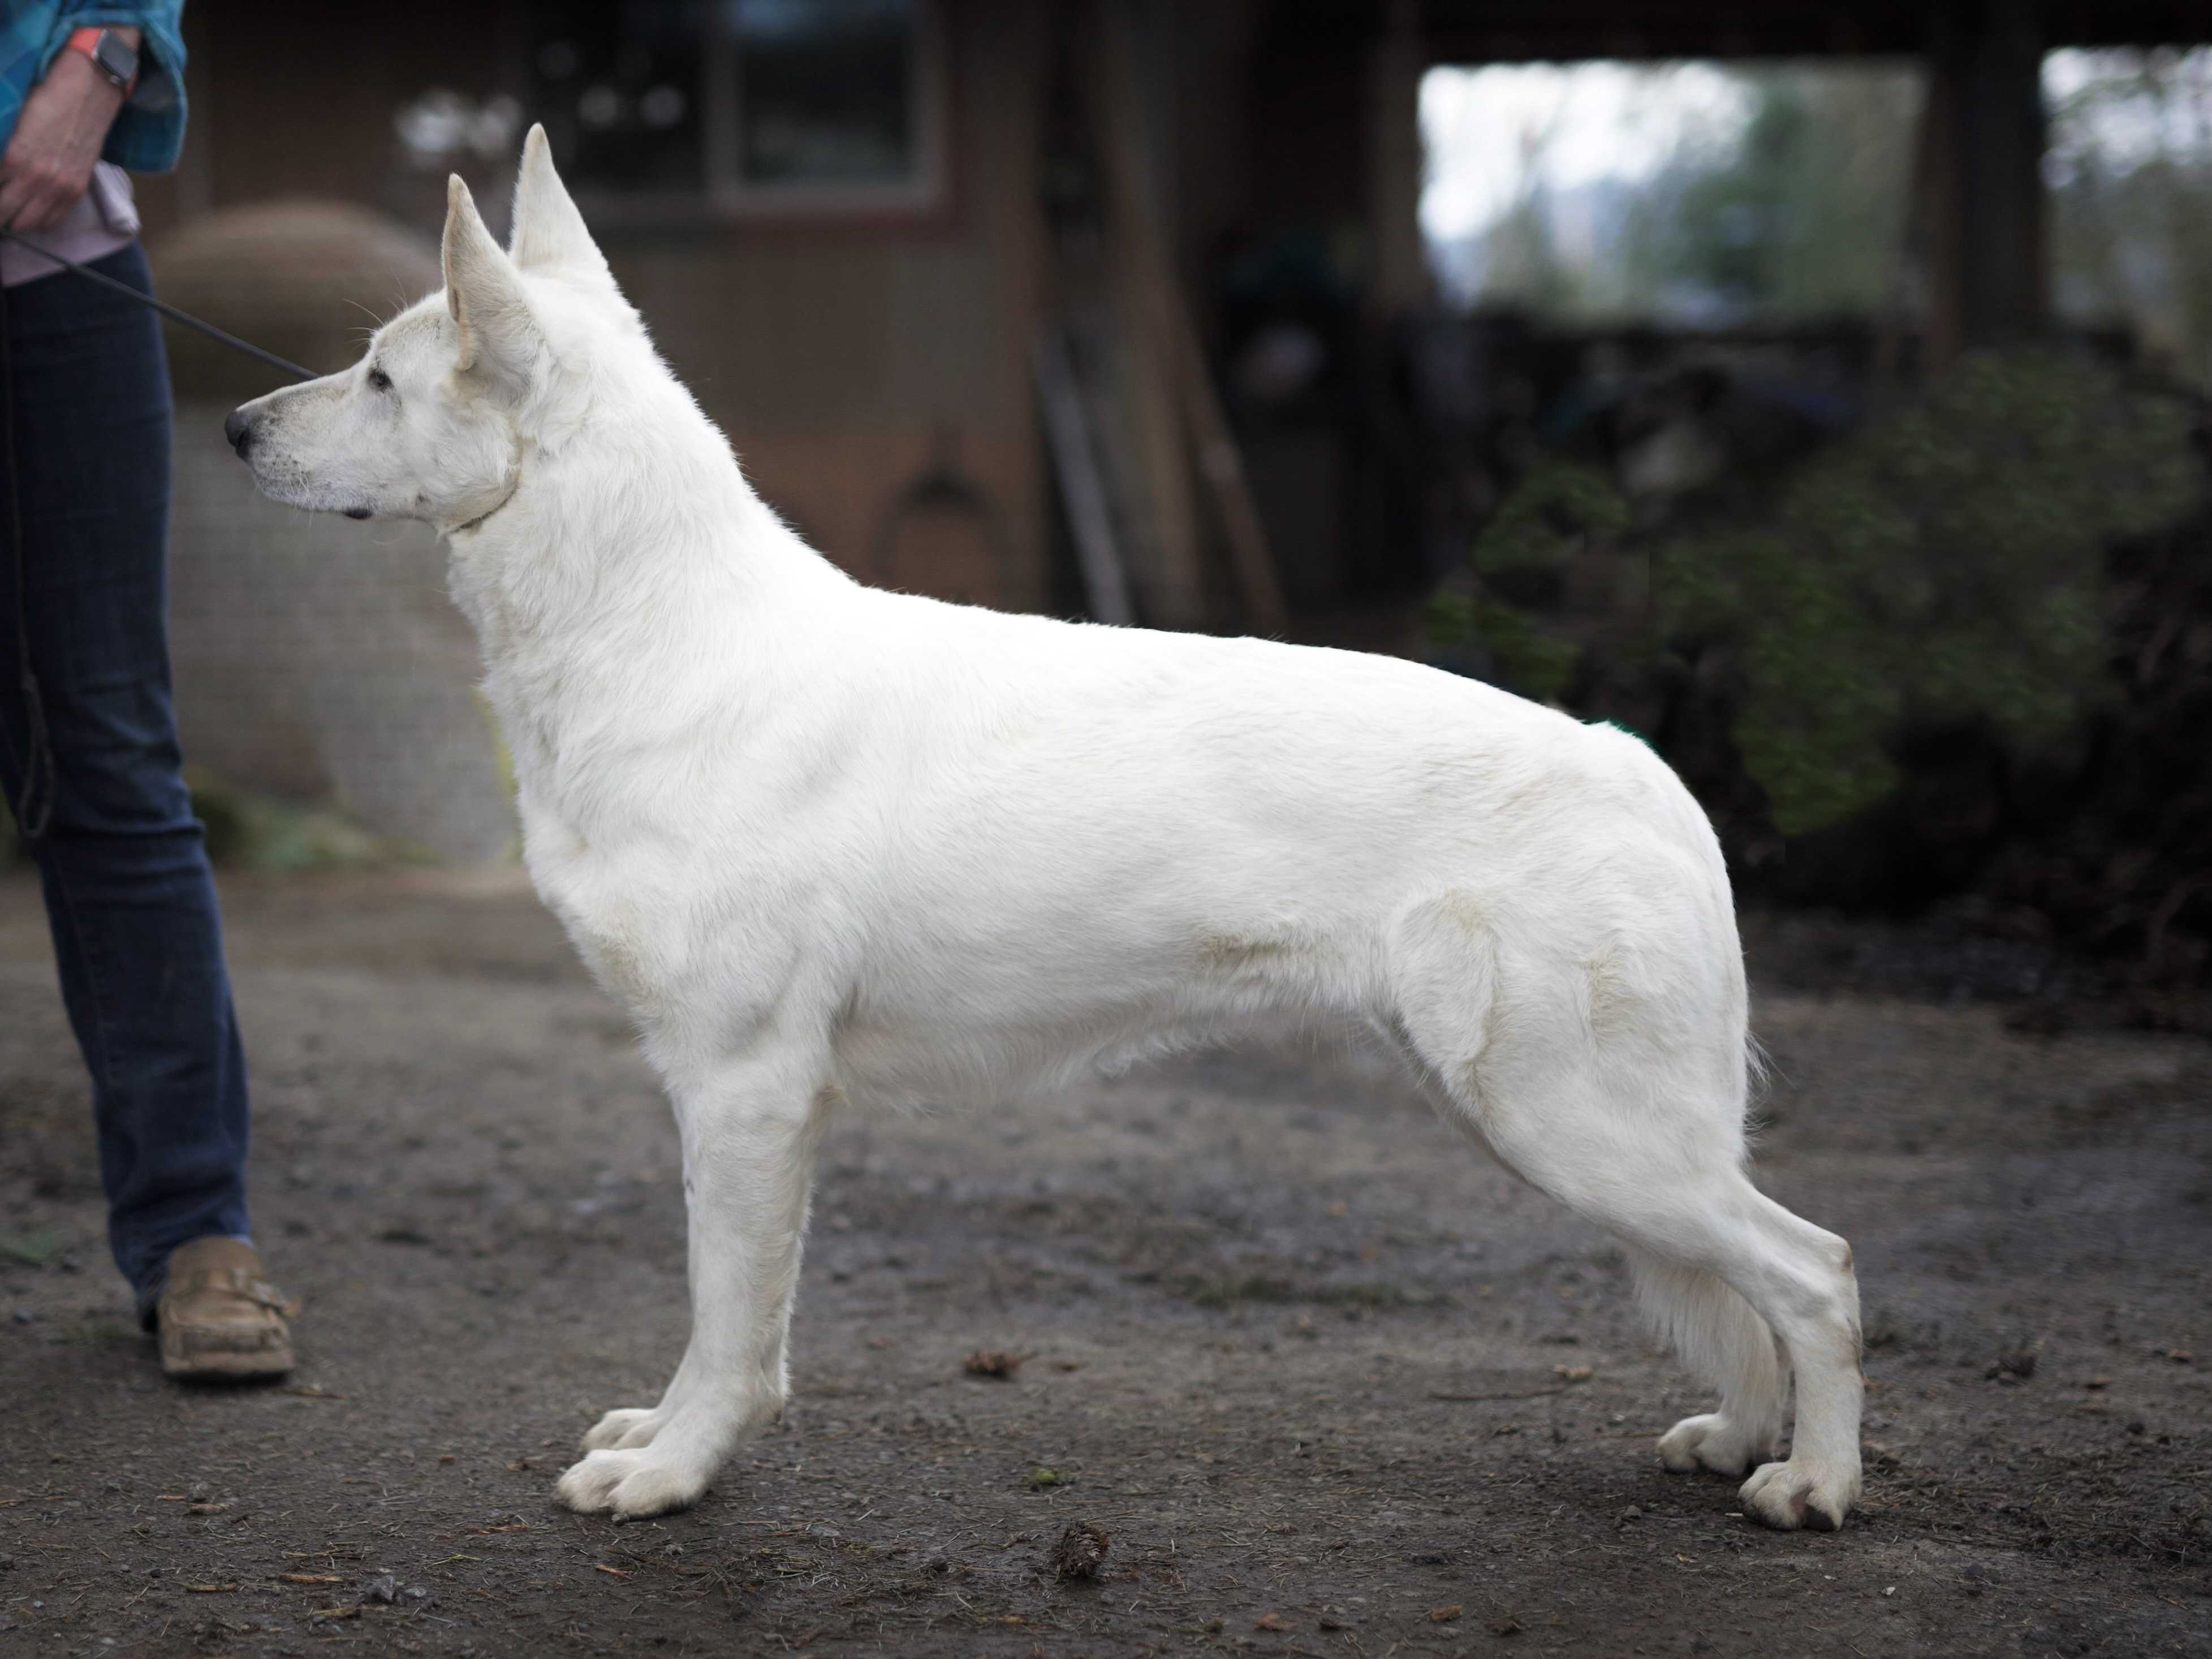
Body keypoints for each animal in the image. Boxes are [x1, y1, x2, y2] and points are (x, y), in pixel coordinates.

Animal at [224, 130, 1858, 1531]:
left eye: (378, 378)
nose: (234, 426)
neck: (656, 632)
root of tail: (1643, 770)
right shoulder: (745, 1101)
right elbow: (736, 1324)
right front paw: (669, 1437)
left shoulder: (742, 1091)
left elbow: (726, 1322)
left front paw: (675, 1472)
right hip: (1552, 1121)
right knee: (1746, 1287)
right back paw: (1738, 1438)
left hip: (1568, 1124)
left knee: (1814, 1270)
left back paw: (1811, 1483)